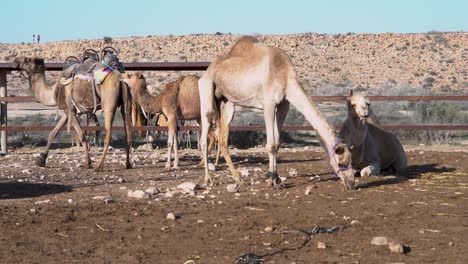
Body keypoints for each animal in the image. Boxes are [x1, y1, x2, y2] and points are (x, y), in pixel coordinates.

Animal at [197, 36, 354, 190]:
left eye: (352, 161)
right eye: (342, 163)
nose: (352, 183)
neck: (285, 75)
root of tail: (208, 70)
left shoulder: (284, 104)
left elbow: (277, 144)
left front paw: (277, 179)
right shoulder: (269, 103)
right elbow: (271, 145)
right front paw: (271, 181)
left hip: (227, 103)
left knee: (223, 141)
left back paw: (238, 179)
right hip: (206, 94)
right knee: (205, 136)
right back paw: (208, 179)